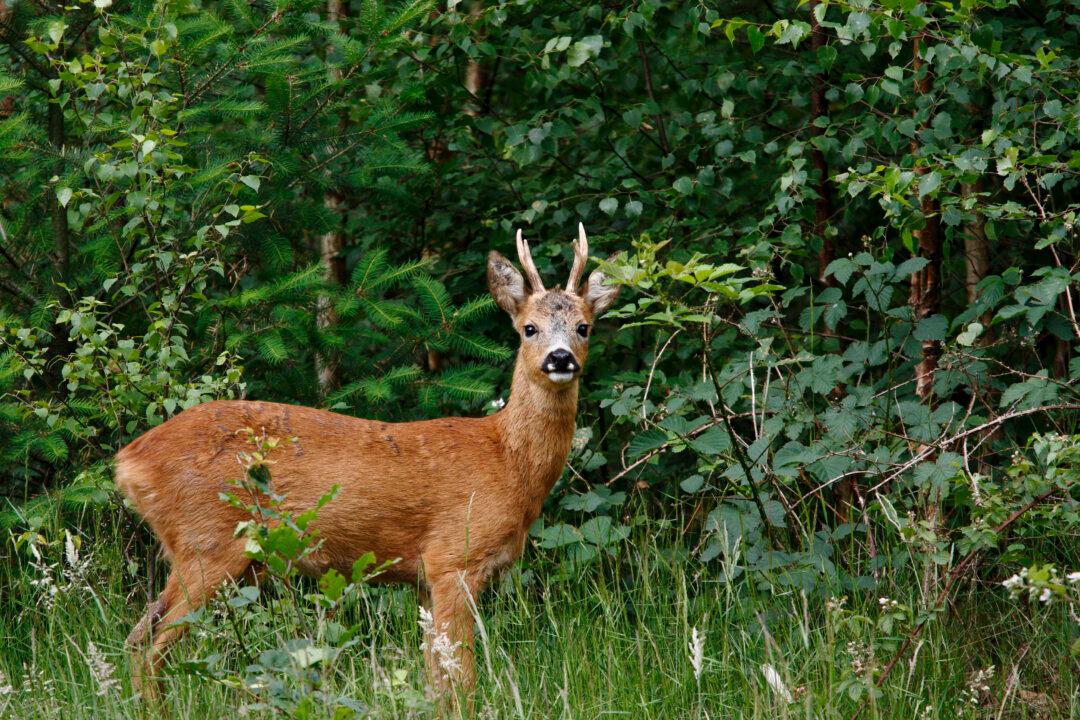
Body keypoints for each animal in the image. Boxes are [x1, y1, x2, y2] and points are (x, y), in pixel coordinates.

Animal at [115, 224, 620, 699]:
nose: (560, 358)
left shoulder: (423, 580)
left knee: (137, 635)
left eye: (584, 327)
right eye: (529, 328)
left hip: (199, 551)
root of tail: (128, 462)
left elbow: (435, 678)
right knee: (150, 648)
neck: (507, 461)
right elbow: (462, 676)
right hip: (207, 542)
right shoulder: (453, 558)